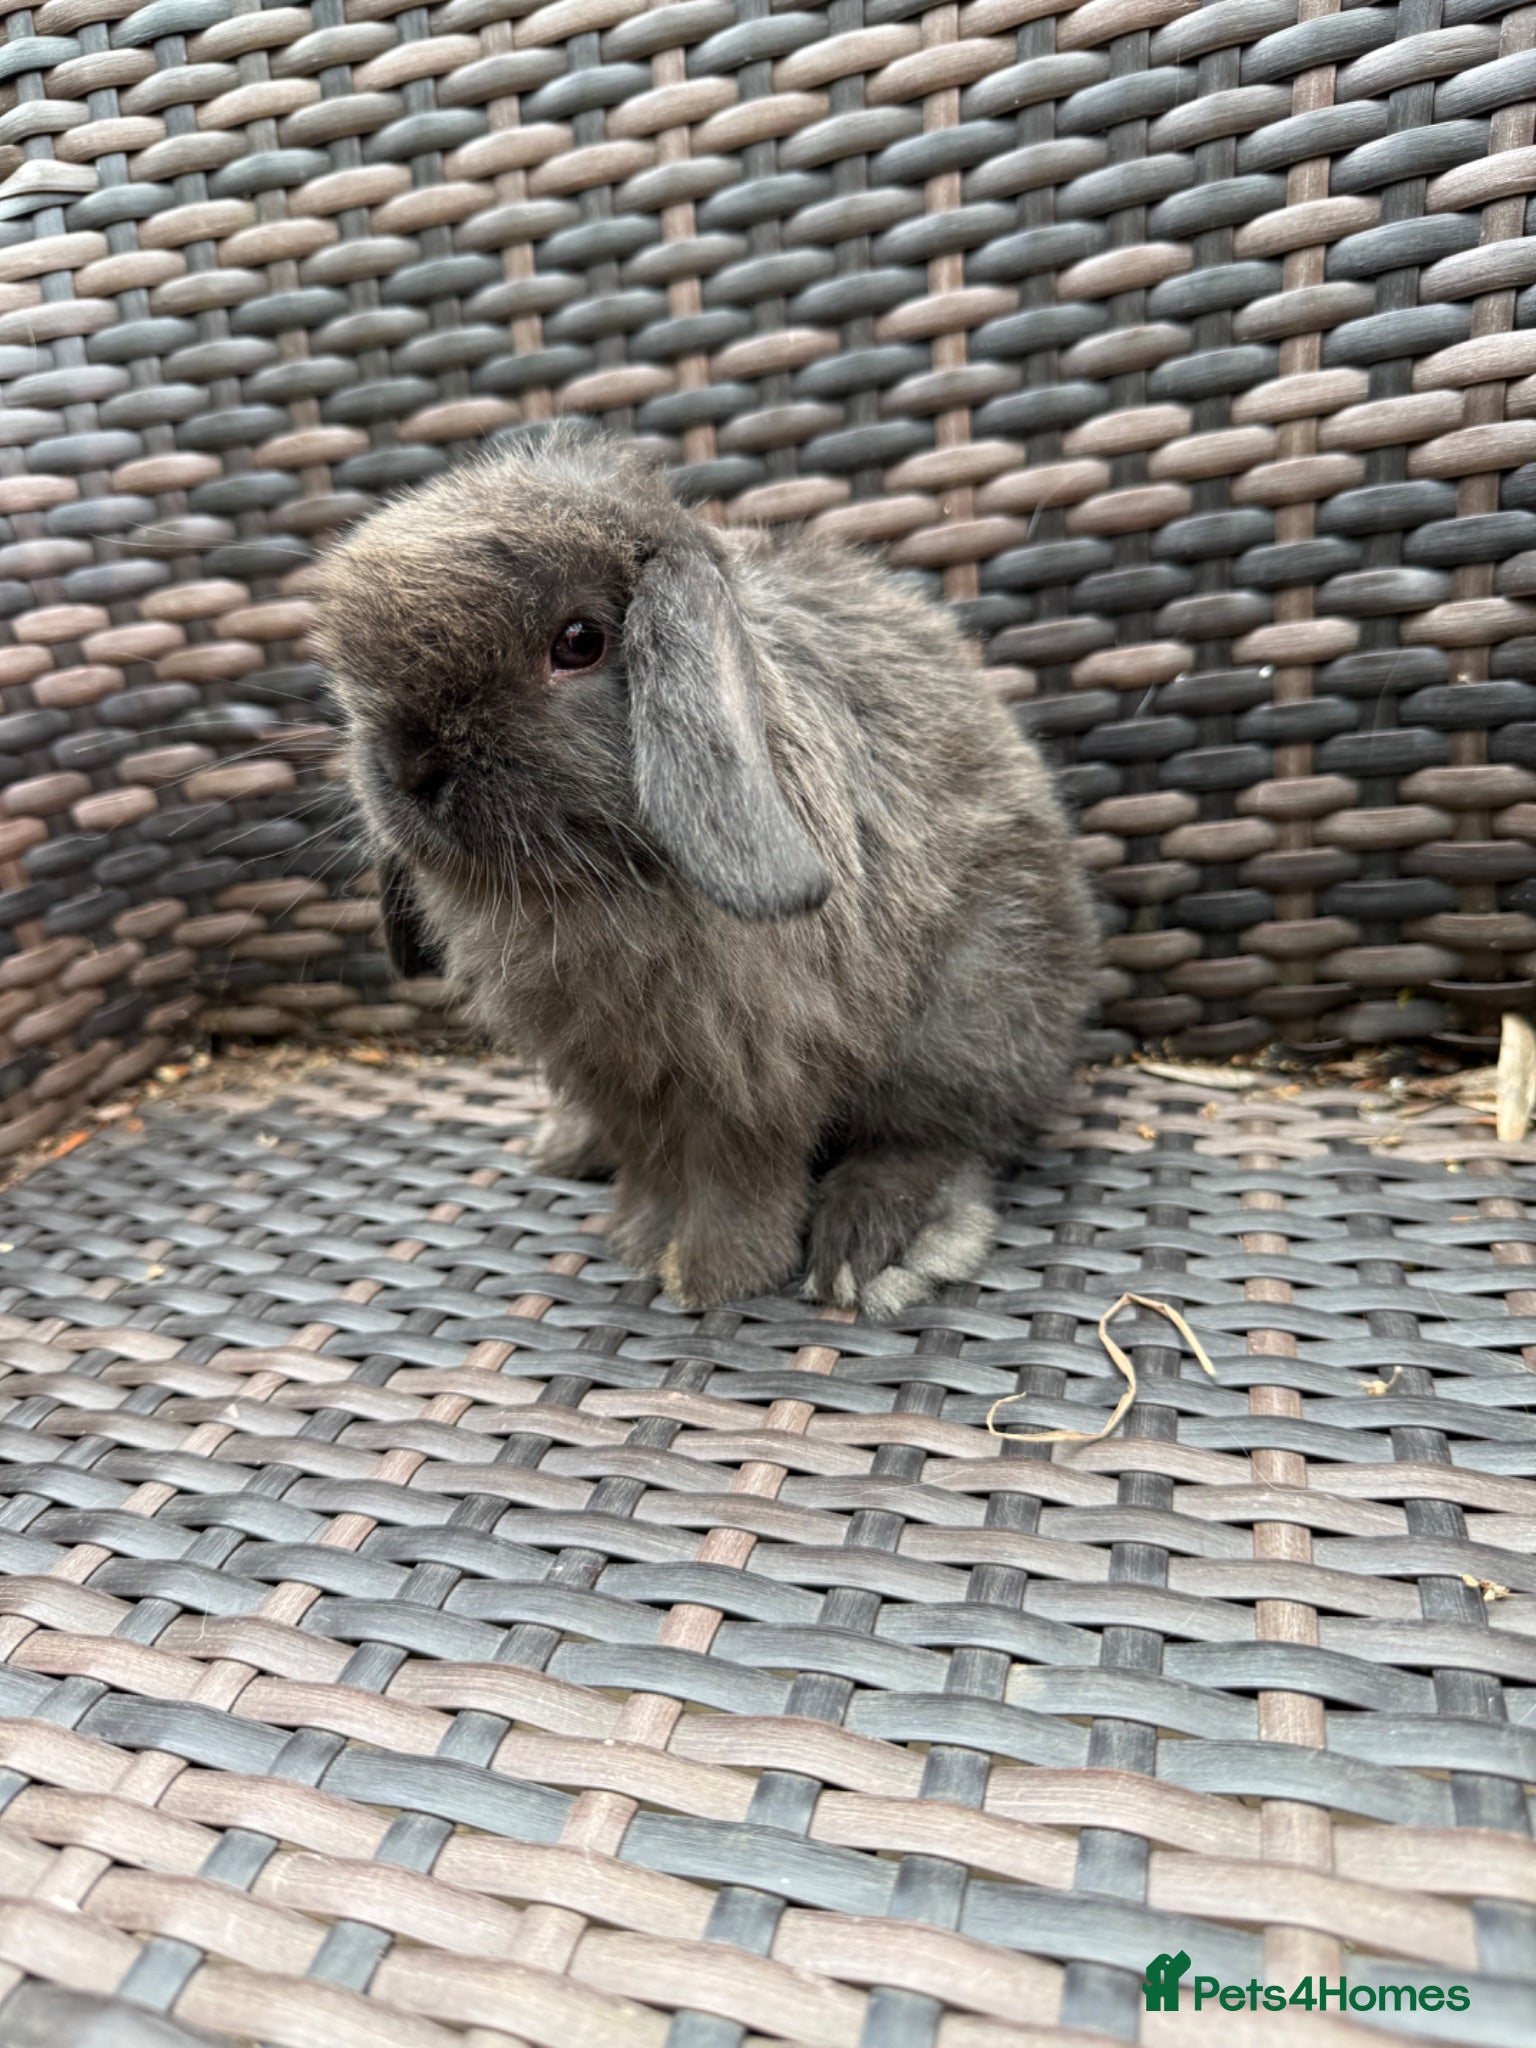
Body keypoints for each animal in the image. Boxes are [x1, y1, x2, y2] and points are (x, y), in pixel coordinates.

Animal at [314, 420, 1098, 1318]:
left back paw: (872, 1251)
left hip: (969, 1017)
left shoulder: (753, 1073)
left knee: (941, 1139)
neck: (600, 879)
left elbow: (738, 1176)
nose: (410, 768)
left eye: (579, 642)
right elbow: (652, 1161)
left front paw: (707, 1277)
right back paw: (566, 1149)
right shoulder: (617, 1073)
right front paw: (641, 1237)